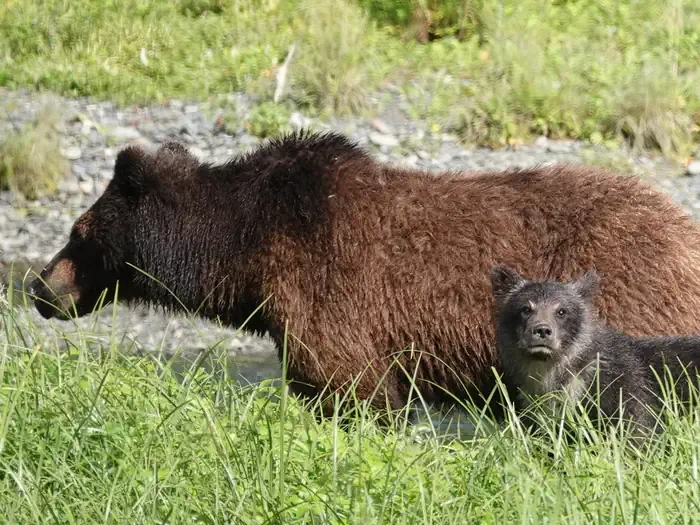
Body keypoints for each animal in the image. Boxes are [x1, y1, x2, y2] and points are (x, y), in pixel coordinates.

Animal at [26, 129, 700, 419]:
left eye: (79, 232)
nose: (39, 286)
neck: (249, 251)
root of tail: (682, 227)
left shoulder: (332, 295)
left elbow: (352, 388)